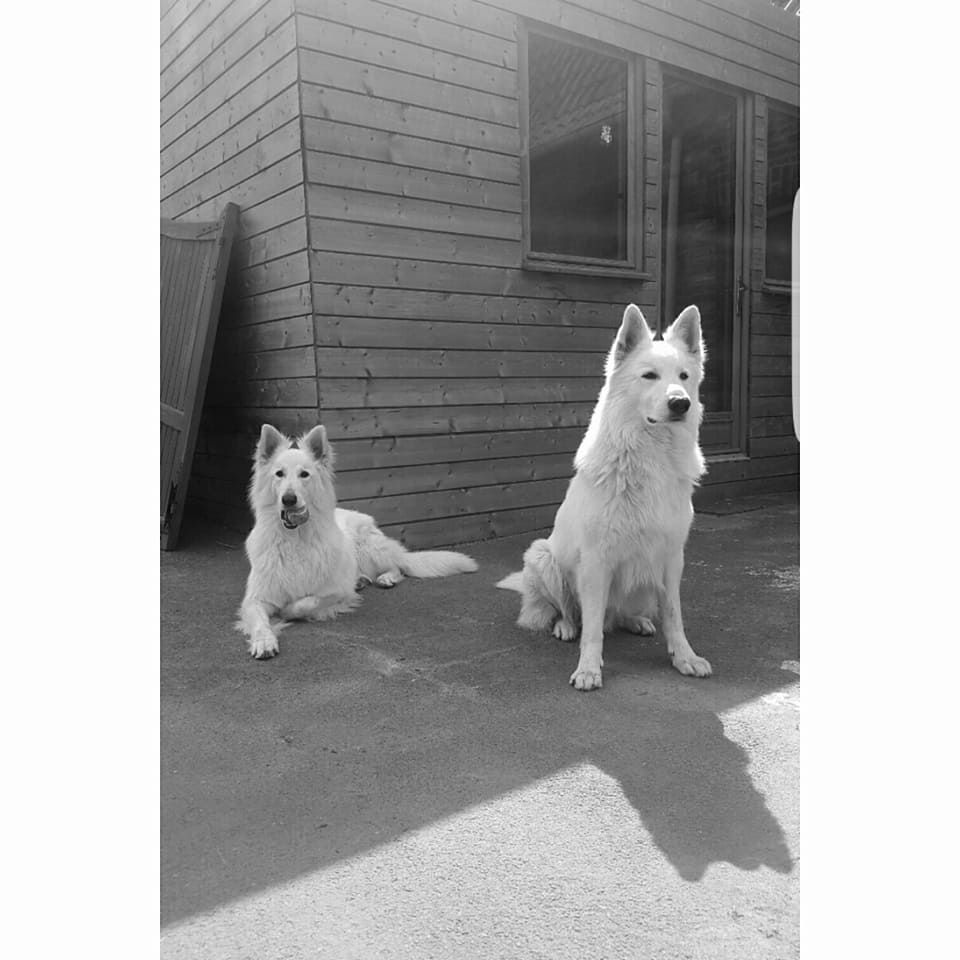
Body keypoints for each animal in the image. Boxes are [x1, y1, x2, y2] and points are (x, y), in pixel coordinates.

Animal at [237, 423, 478, 659]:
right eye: (279, 474)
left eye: (304, 474)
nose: (288, 499)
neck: (295, 540)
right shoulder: (254, 599)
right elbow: (259, 621)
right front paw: (264, 641)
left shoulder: (336, 591)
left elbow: (306, 602)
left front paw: (286, 612)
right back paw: (362, 580)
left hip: (368, 549)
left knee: (398, 566)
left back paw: (385, 578)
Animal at [497, 304, 712, 691]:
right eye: (649, 376)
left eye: (684, 376)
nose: (681, 403)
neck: (651, 455)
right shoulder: (596, 562)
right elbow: (593, 628)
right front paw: (588, 669)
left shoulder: (671, 559)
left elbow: (674, 615)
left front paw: (684, 657)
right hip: (544, 557)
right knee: (572, 612)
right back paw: (565, 627)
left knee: (619, 615)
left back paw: (636, 622)